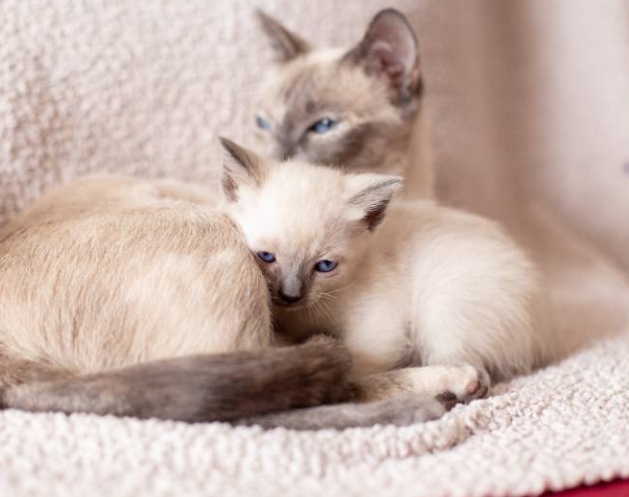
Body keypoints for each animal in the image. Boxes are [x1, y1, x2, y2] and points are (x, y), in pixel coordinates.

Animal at [220, 139, 548, 396]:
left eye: (325, 266)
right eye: (266, 257)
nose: (290, 295)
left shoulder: (380, 324)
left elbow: (357, 364)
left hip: (443, 309)